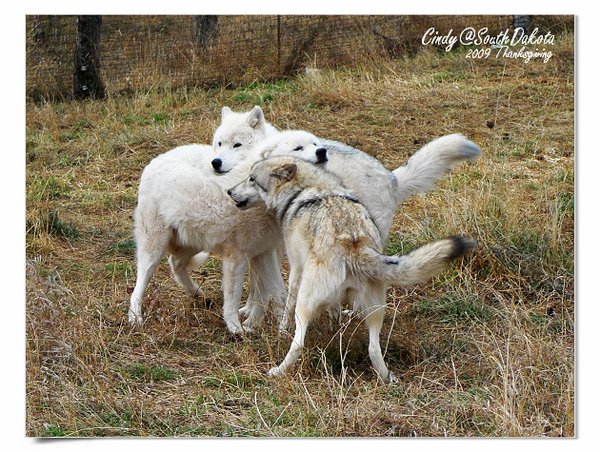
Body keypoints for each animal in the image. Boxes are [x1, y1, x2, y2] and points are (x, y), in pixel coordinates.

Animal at [227, 155, 476, 382]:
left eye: (251, 179)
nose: (229, 191)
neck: (306, 190)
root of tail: (353, 244)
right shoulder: (334, 300)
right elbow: (334, 314)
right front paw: (333, 331)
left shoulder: (296, 272)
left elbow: (286, 309)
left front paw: (280, 331)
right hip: (375, 312)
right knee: (373, 350)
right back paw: (387, 378)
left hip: (306, 304)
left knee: (298, 344)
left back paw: (277, 371)